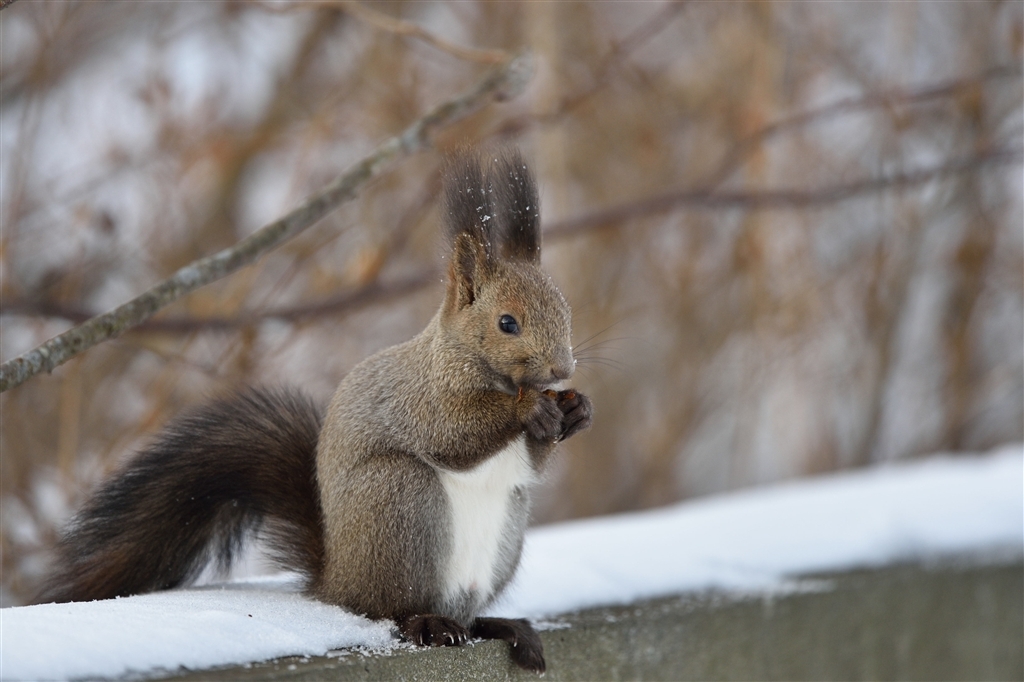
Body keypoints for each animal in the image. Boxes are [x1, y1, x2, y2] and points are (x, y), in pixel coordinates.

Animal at [34, 147, 593, 667]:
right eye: (506, 323)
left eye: (566, 309)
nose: (561, 369)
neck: (483, 370)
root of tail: (336, 581)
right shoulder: (422, 397)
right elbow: (451, 436)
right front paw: (529, 409)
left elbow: (530, 463)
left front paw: (575, 410)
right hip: (400, 501)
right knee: (388, 608)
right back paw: (427, 622)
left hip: (504, 531)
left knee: (463, 612)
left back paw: (499, 626)